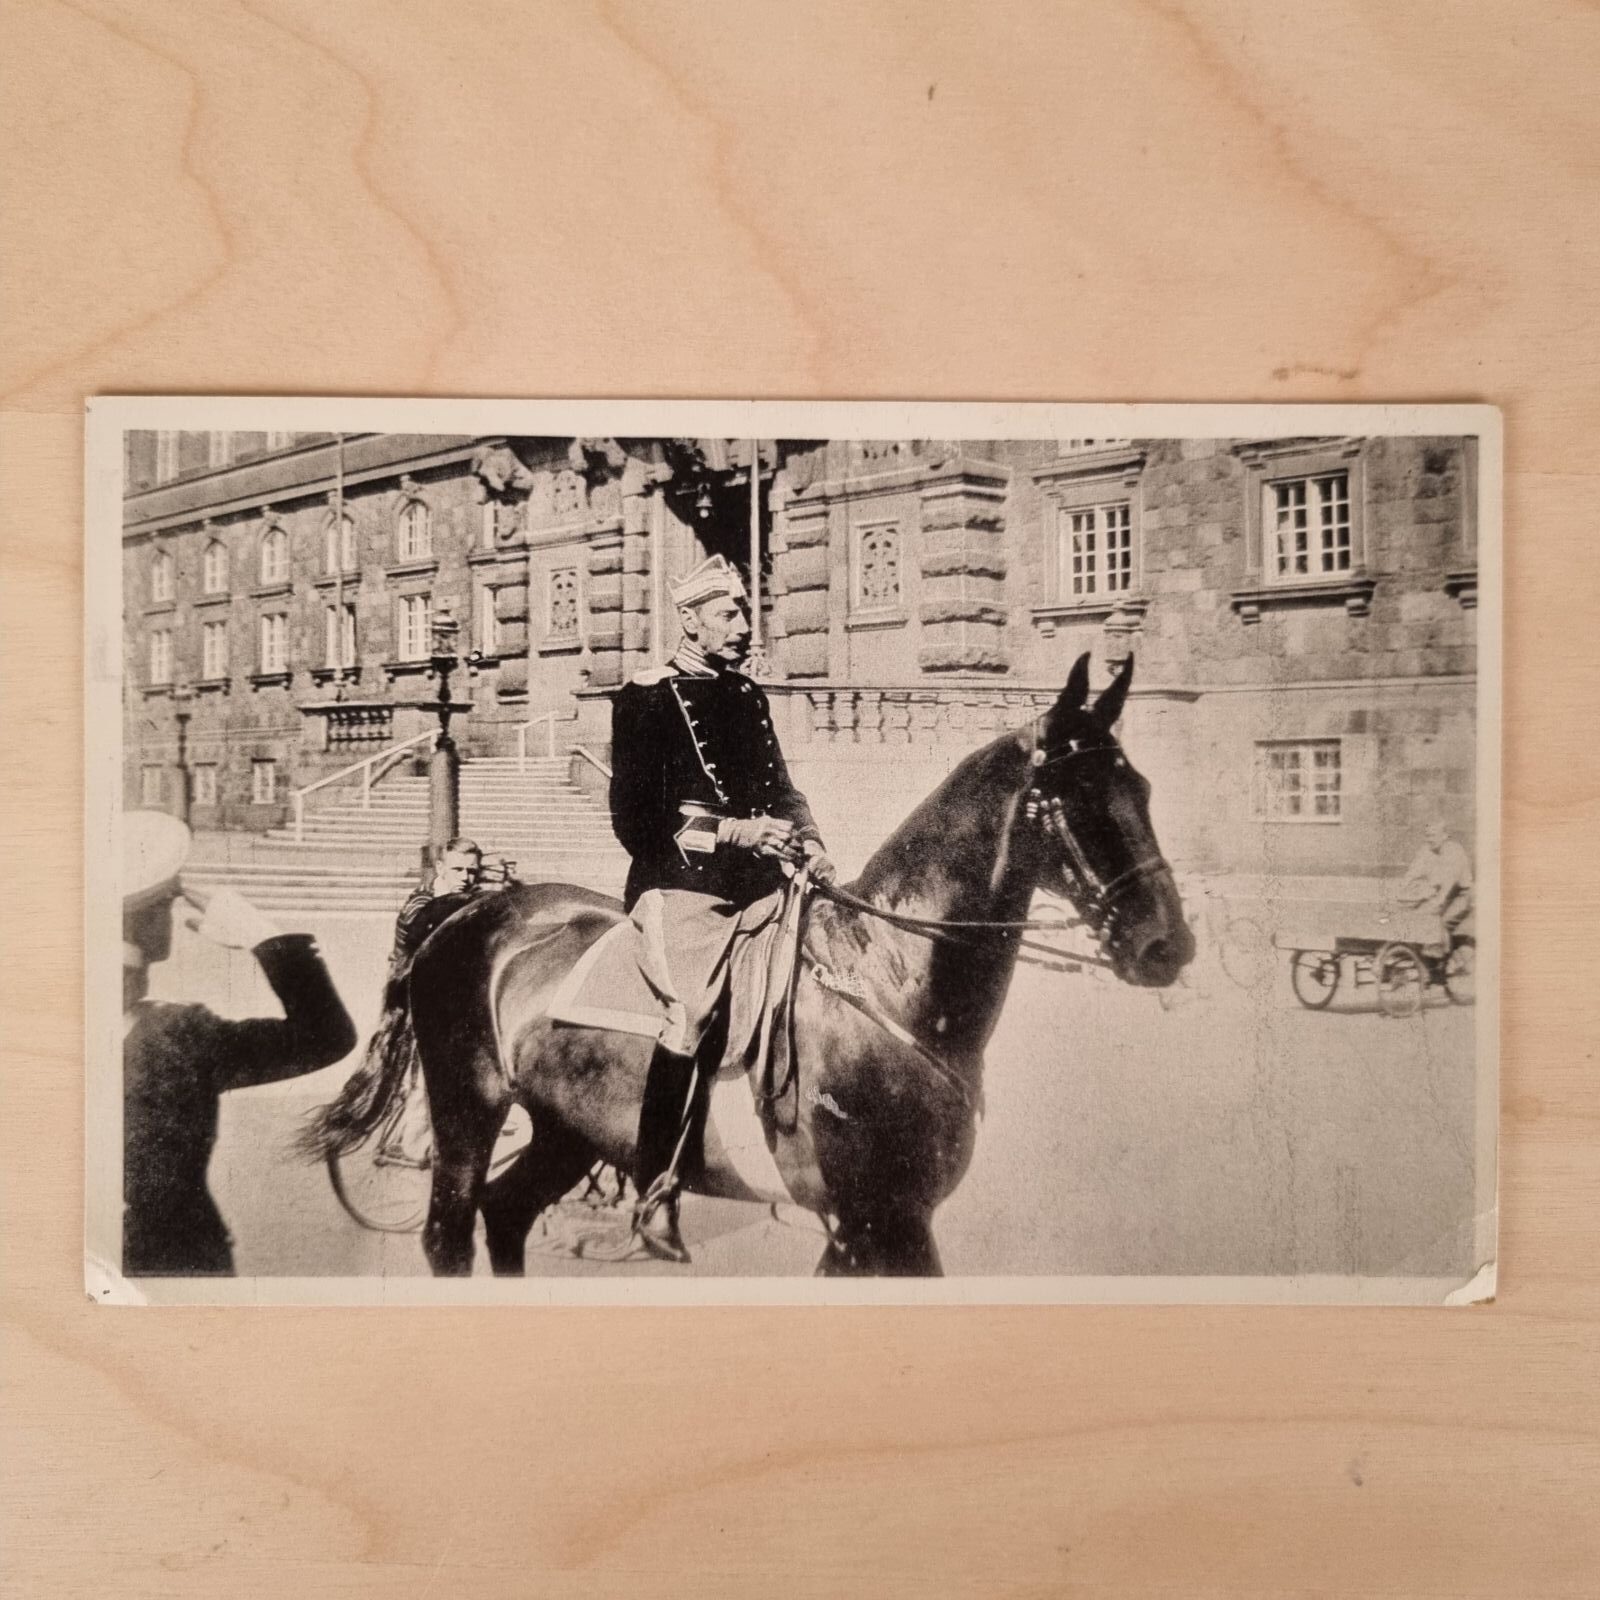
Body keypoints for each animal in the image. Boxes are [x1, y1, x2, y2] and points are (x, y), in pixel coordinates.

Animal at [308, 651, 1193, 1277]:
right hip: (468, 1110)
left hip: (568, 1131)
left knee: (507, 1216)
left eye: (1145, 788)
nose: (1168, 946)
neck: (888, 982)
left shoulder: (882, 1224)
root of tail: (463, 912)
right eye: (1077, 796)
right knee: (450, 1233)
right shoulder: (875, 1221)